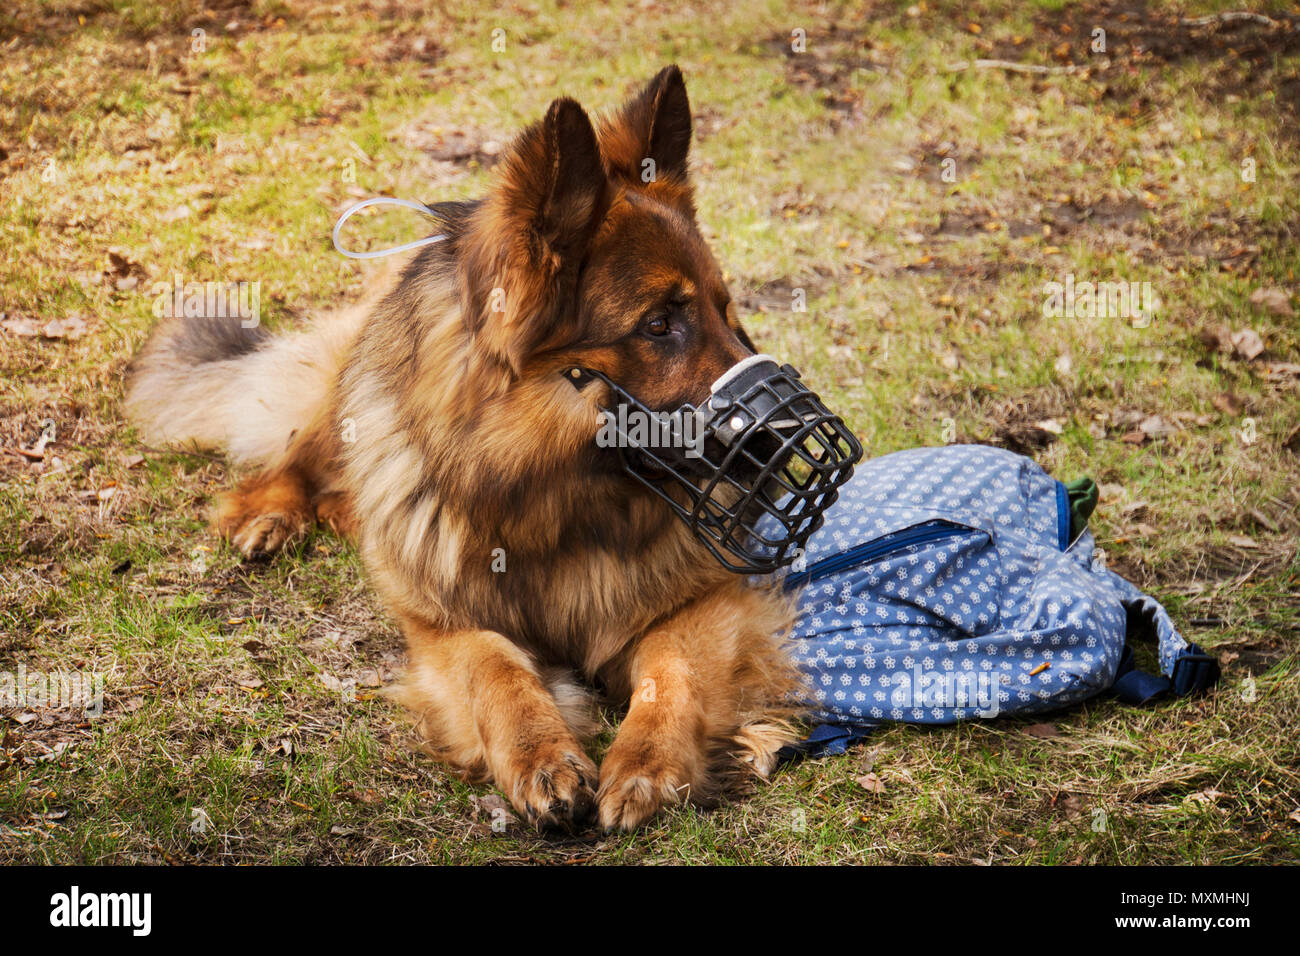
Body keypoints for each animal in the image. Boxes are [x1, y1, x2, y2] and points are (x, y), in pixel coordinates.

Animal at [124, 67, 811, 832]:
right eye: (659, 324)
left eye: (727, 312)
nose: (787, 441)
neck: (561, 506)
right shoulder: (444, 627)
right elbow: (496, 667)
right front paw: (541, 753)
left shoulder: (707, 604)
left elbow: (673, 673)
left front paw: (647, 764)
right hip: (349, 403)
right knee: (300, 454)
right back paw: (271, 511)